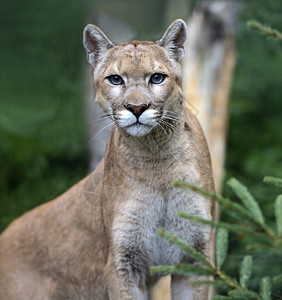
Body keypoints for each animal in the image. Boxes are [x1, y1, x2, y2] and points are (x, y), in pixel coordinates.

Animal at [0, 19, 214, 298]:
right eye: (115, 79)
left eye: (157, 77)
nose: (136, 107)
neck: (157, 157)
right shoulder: (123, 260)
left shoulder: (194, 253)